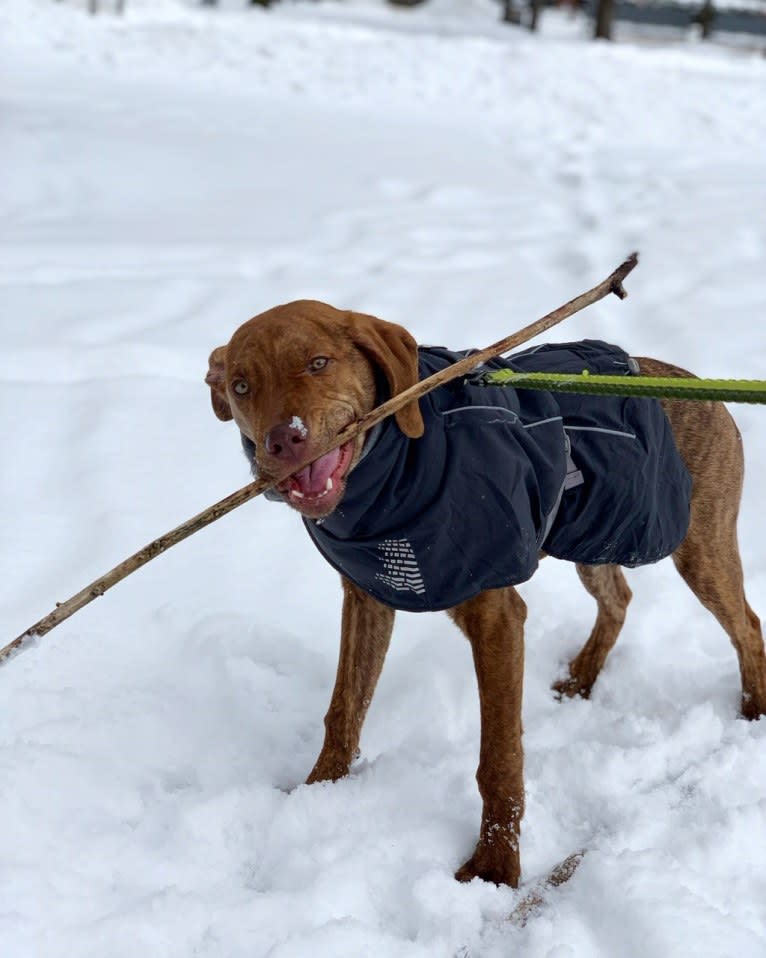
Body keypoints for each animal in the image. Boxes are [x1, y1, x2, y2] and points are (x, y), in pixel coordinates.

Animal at [207, 302, 766, 892]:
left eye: (318, 363)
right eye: (242, 386)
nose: (281, 441)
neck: (386, 483)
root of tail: (701, 387)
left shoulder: (496, 617)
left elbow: (498, 758)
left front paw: (496, 867)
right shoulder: (367, 599)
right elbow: (344, 710)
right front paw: (316, 795)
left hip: (698, 550)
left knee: (746, 626)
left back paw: (754, 712)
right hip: (599, 532)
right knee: (619, 598)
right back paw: (582, 678)